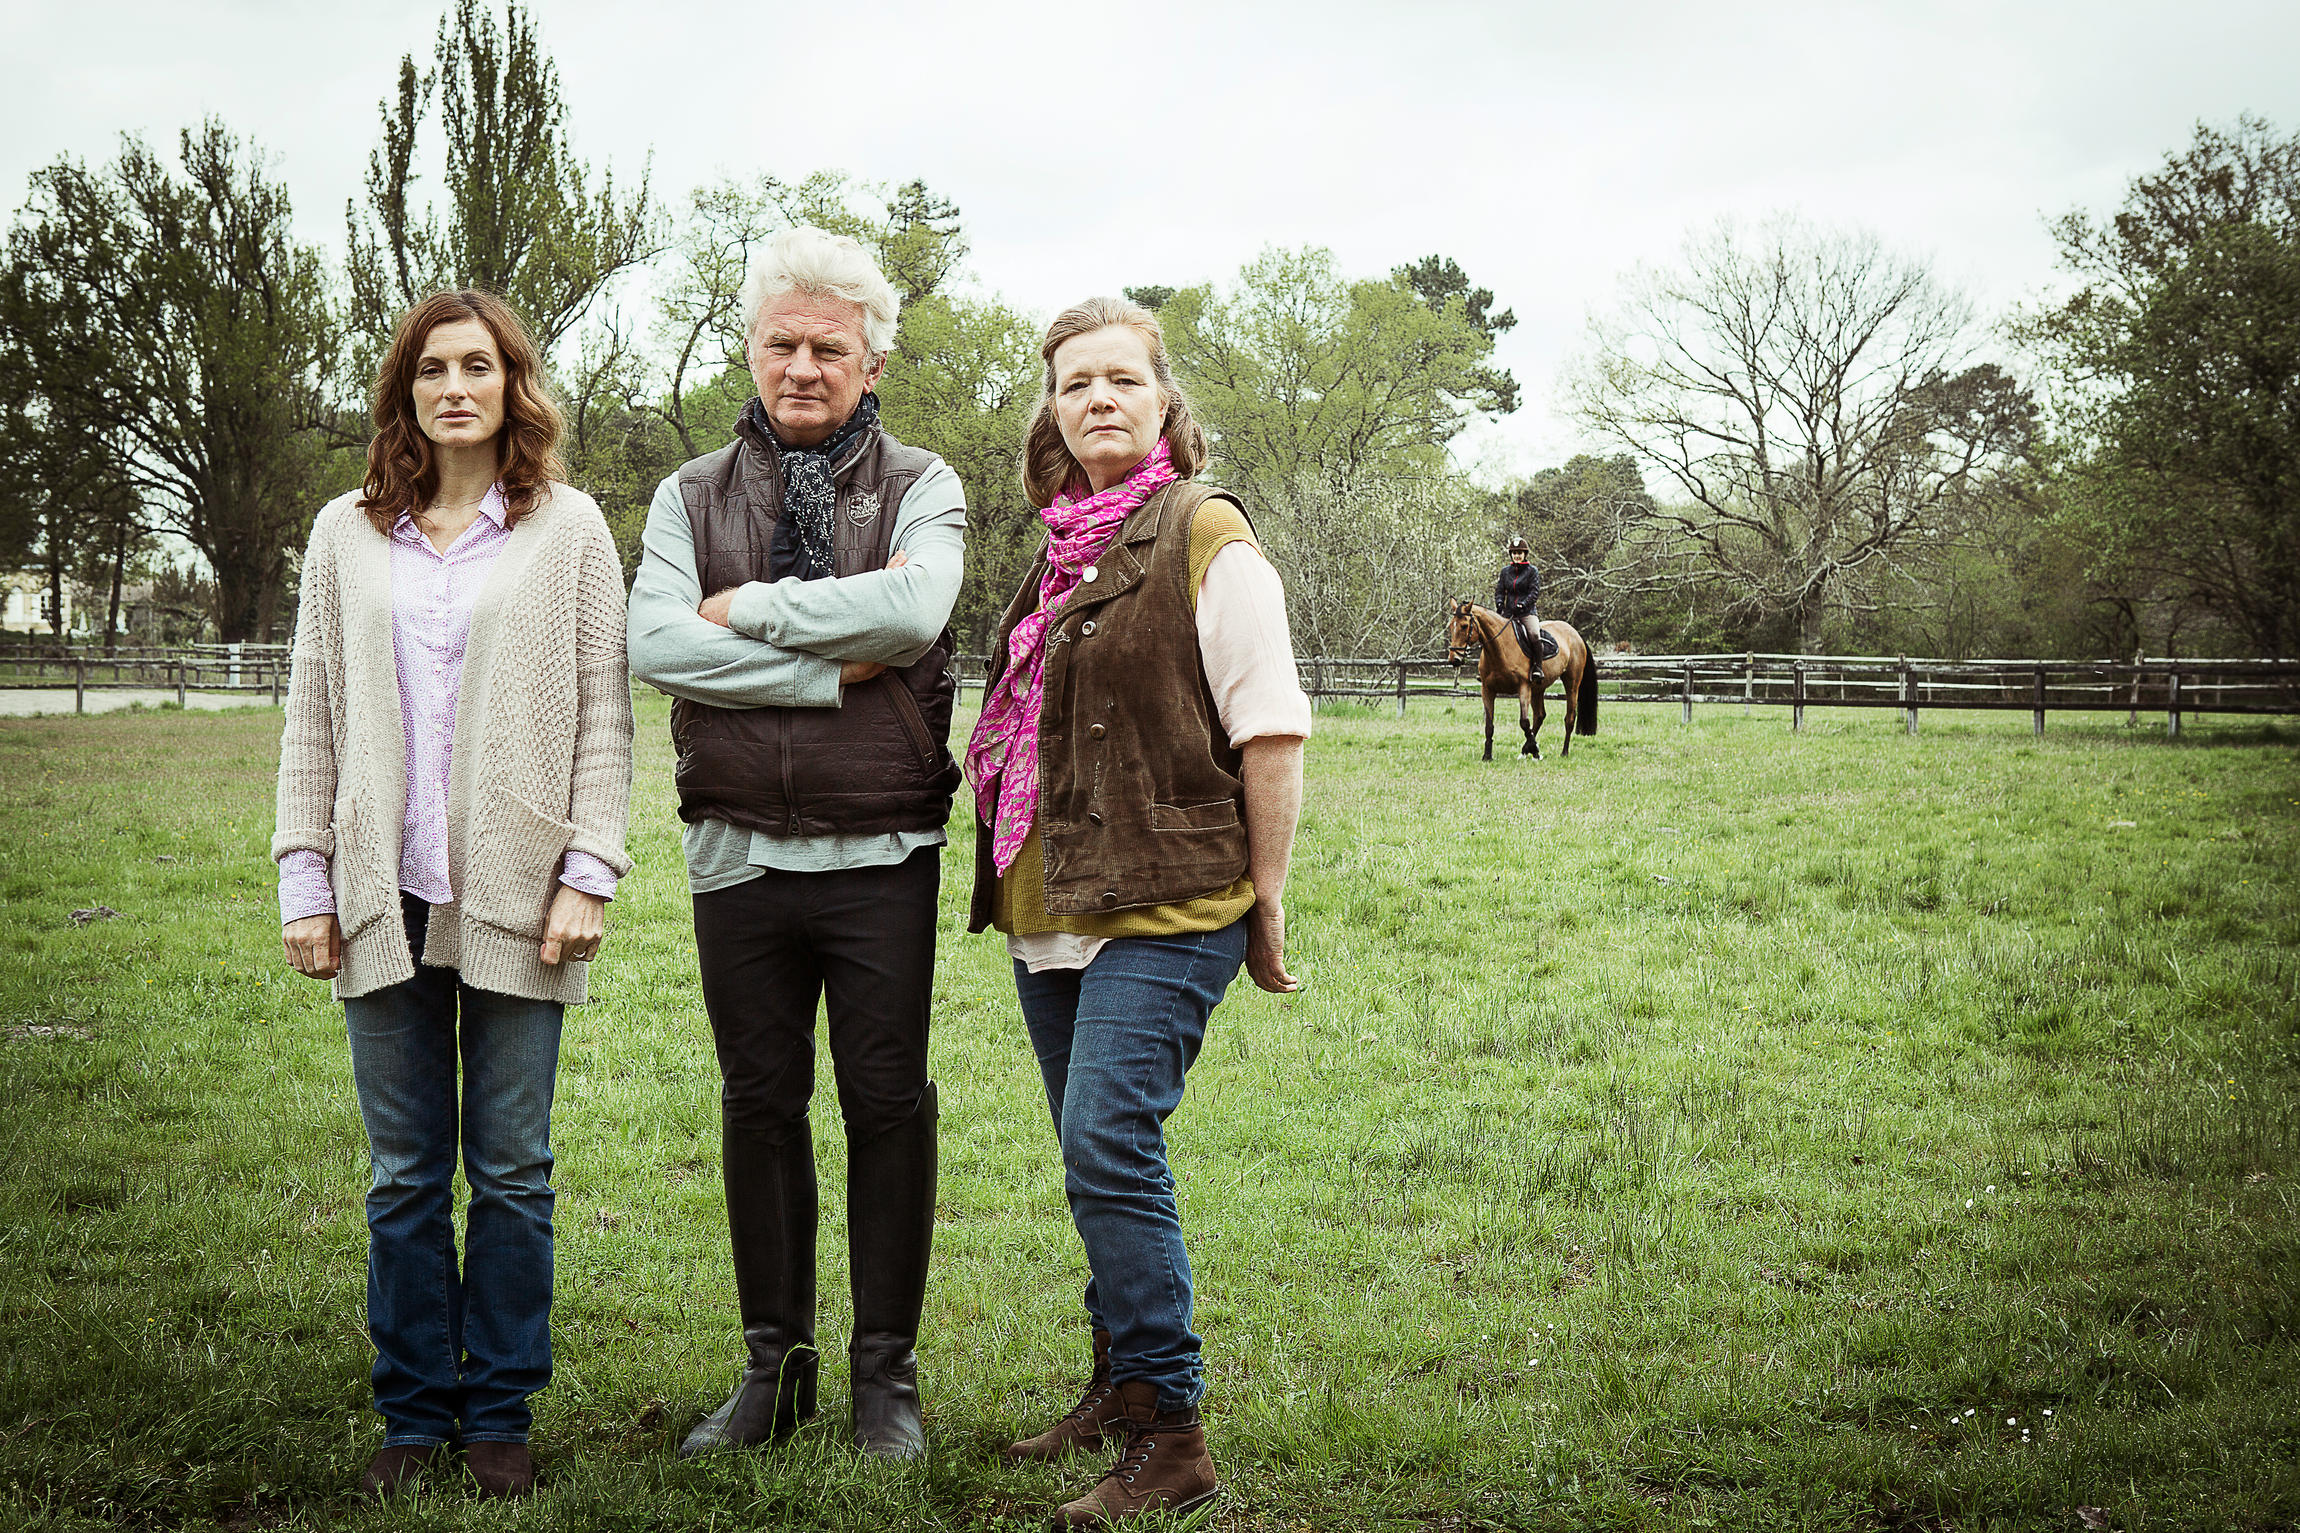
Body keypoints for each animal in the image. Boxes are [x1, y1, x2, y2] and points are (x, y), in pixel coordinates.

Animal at [1444, 602, 1591, 763]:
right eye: (1451, 626)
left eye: (1464, 626)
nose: (1454, 659)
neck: (1500, 648)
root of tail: (1575, 633)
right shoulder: (1487, 690)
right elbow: (1489, 725)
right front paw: (1487, 756)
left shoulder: (1523, 687)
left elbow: (1524, 722)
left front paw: (1536, 751)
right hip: (1538, 689)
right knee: (1539, 716)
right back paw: (1526, 750)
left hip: (1572, 684)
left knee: (1569, 718)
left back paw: (1563, 752)